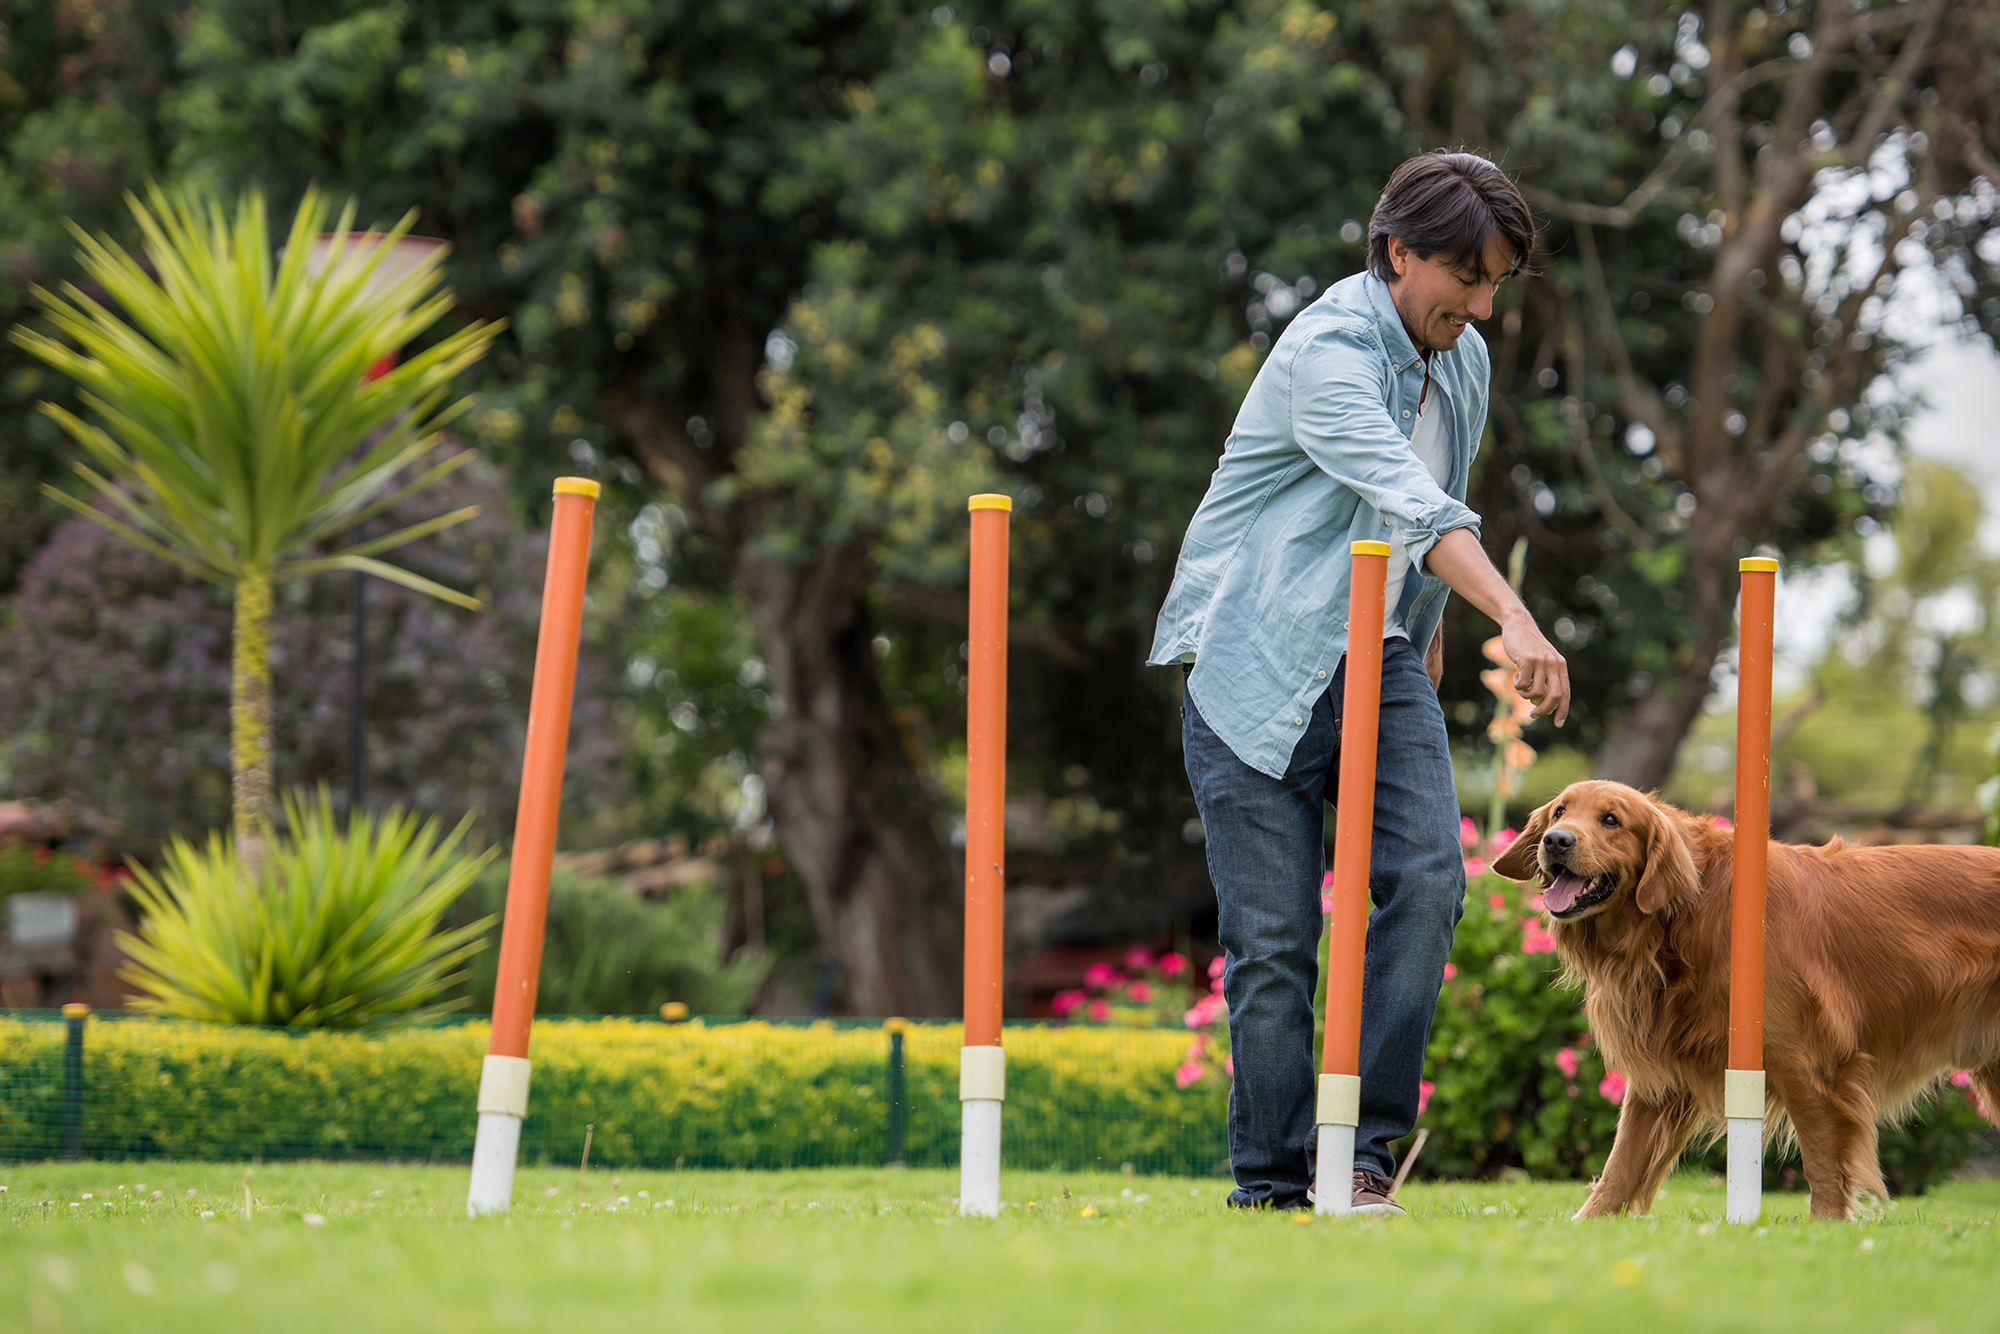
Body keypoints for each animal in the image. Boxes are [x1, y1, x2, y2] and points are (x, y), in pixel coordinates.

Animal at [1488, 776, 2000, 1224]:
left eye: (1611, 819)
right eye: (1560, 811)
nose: (1555, 841)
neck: (1687, 914)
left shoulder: (1804, 1062)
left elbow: (1821, 1157)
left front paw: (1826, 1228)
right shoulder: (1661, 1070)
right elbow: (1622, 1162)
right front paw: (1585, 1224)